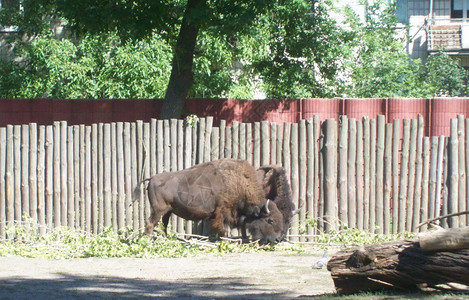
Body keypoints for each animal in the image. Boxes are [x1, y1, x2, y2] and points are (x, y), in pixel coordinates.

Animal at [133, 158, 286, 243]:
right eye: (270, 220)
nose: (278, 239)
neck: (238, 183)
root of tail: (152, 178)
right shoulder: (221, 212)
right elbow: (222, 229)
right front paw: (223, 241)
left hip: (168, 211)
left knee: (164, 225)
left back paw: (166, 240)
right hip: (158, 210)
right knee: (150, 223)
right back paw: (149, 242)